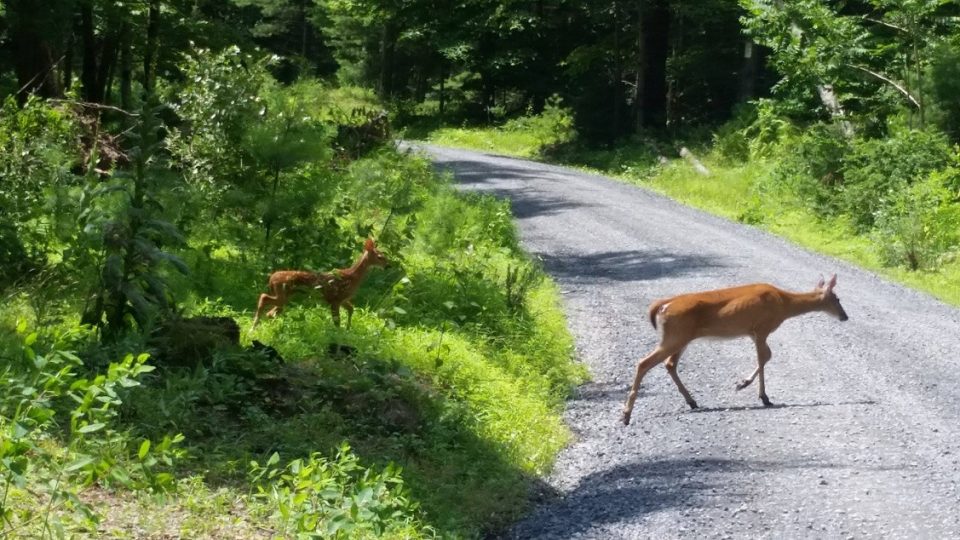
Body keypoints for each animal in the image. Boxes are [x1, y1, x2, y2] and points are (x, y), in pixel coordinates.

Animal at [255, 237, 394, 330]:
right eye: (380, 257)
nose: (388, 265)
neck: (352, 277)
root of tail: (271, 278)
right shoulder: (336, 299)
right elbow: (337, 321)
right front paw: (339, 332)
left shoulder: (342, 299)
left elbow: (351, 309)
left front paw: (348, 328)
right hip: (282, 293)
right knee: (263, 297)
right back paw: (255, 326)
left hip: (285, 296)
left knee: (270, 312)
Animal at [624, 276, 848, 424]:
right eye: (837, 299)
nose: (845, 317)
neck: (784, 303)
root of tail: (663, 305)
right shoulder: (762, 328)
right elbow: (763, 357)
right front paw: (761, 395)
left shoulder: (753, 332)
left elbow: (767, 356)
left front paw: (744, 384)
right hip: (676, 335)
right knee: (644, 363)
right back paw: (626, 415)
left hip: (680, 337)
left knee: (669, 364)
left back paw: (692, 401)